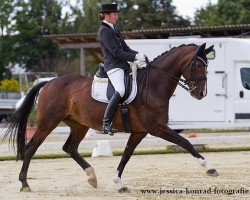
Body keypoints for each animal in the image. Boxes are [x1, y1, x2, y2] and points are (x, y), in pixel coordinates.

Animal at [2, 41, 217, 192]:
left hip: (79, 125)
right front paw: (209, 168)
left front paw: (119, 183)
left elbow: (127, 154)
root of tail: (49, 82)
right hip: (48, 123)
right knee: (31, 147)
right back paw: (24, 183)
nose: (200, 94)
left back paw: (92, 177)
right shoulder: (156, 127)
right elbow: (185, 142)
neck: (153, 86)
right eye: (198, 65)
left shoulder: (140, 131)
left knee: (69, 147)